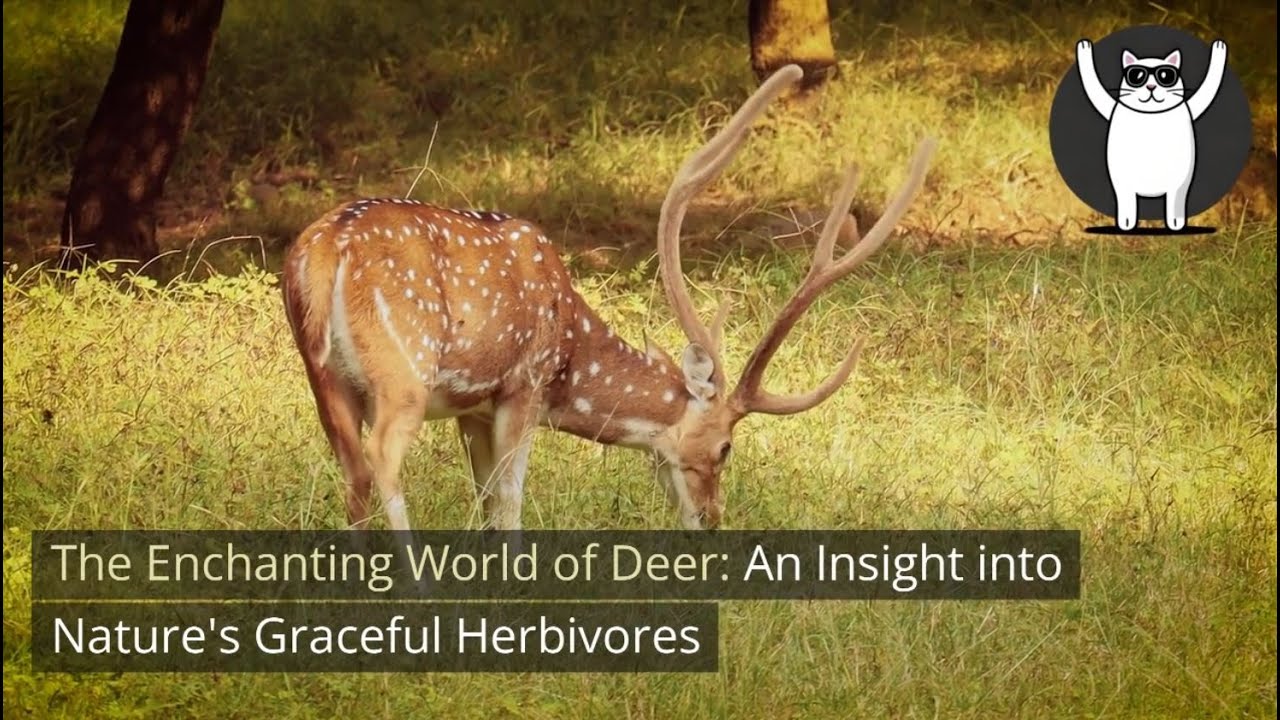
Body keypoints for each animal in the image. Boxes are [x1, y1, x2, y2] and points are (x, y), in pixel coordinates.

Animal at [281, 64, 936, 532]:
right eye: (725, 448)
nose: (712, 518)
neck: (571, 352)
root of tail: (325, 249)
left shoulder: (473, 408)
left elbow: (483, 498)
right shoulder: (524, 383)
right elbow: (509, 500)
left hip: (323, 374)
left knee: (354, 475)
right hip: (403, 367)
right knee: (383, 463)